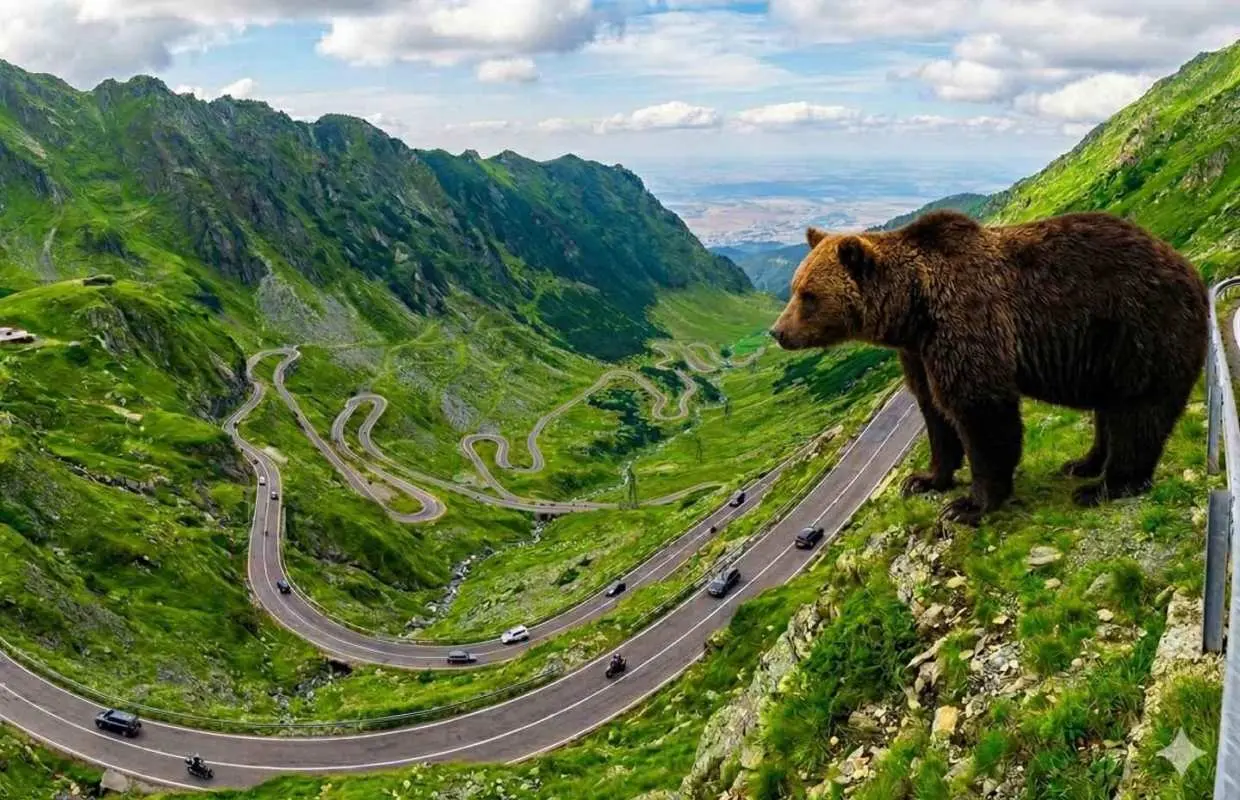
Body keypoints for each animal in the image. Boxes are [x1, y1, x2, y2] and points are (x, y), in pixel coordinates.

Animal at [768, 209, 1209, 526]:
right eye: (794, 288)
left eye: (808, 295)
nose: (778, 332)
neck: (914, 308)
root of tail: (1189, 269)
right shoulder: (919, 353)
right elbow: (934, 413)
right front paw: (924, 479)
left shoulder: (968, 322)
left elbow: (981, 412)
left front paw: (969, 505)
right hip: (1110, 354)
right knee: (1110, 412)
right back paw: (1083, 464)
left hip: (1142, 331)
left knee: (1138, 414)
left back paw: (1106, 486)